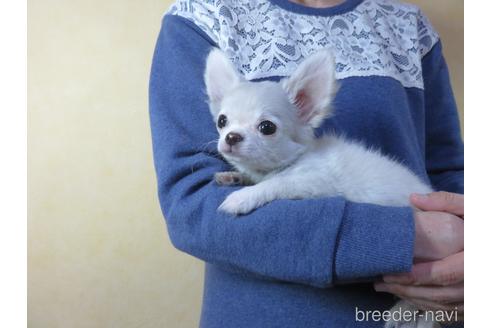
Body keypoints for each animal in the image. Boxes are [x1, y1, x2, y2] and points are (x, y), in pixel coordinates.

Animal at [204, 48, 438, 328]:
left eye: (267, 127)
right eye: (222, 121)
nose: (231, 137)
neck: (291, 162)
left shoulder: (311, 181)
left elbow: (274, 184)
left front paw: (241, 197)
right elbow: (256, 178)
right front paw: (233, 177)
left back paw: (401, 312)